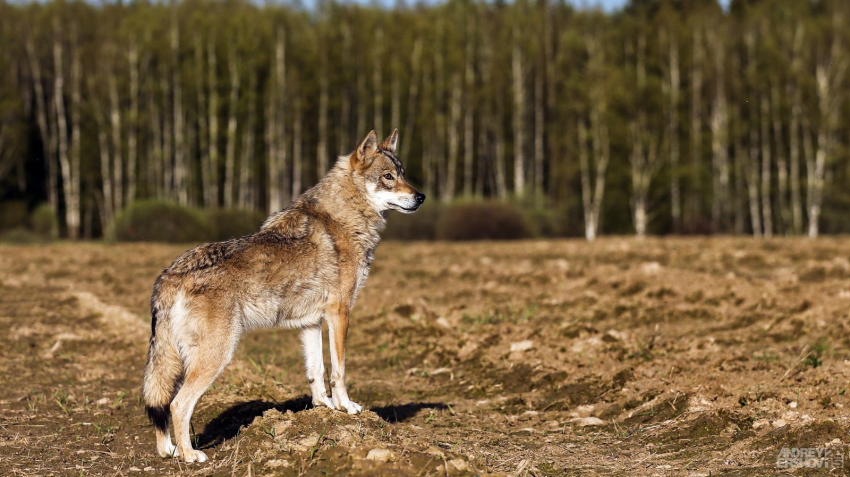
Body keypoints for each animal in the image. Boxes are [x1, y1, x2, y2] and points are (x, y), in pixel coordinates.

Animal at [143, 128, 428, 460]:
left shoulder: (311, 322)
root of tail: (169, 275)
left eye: (403, 174)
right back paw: (190, 455)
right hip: (216, 357)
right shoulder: (340, 313)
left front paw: (324, 409)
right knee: (178, 404)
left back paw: (169, 450)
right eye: (388, 177)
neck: (343, 218)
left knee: (161, 402)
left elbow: (317, 371)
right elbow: (339, 370)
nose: (421, 196)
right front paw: (347, 407)